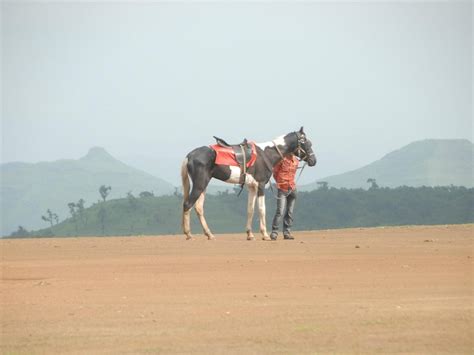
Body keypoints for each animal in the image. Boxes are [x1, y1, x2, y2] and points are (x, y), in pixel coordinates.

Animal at [181, 126, 318, 241]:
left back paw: (209, 234)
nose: (313, 160)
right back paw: (188, 234)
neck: (266, 154)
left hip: (203, 185)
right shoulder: (261, 185)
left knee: (198, 207)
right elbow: (262, 209)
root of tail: (190, 155)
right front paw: (265, 234)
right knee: (188, 204)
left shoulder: (252, 187)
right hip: (200, 184)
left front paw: (250, 234)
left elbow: (250, 209)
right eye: (306, 142)